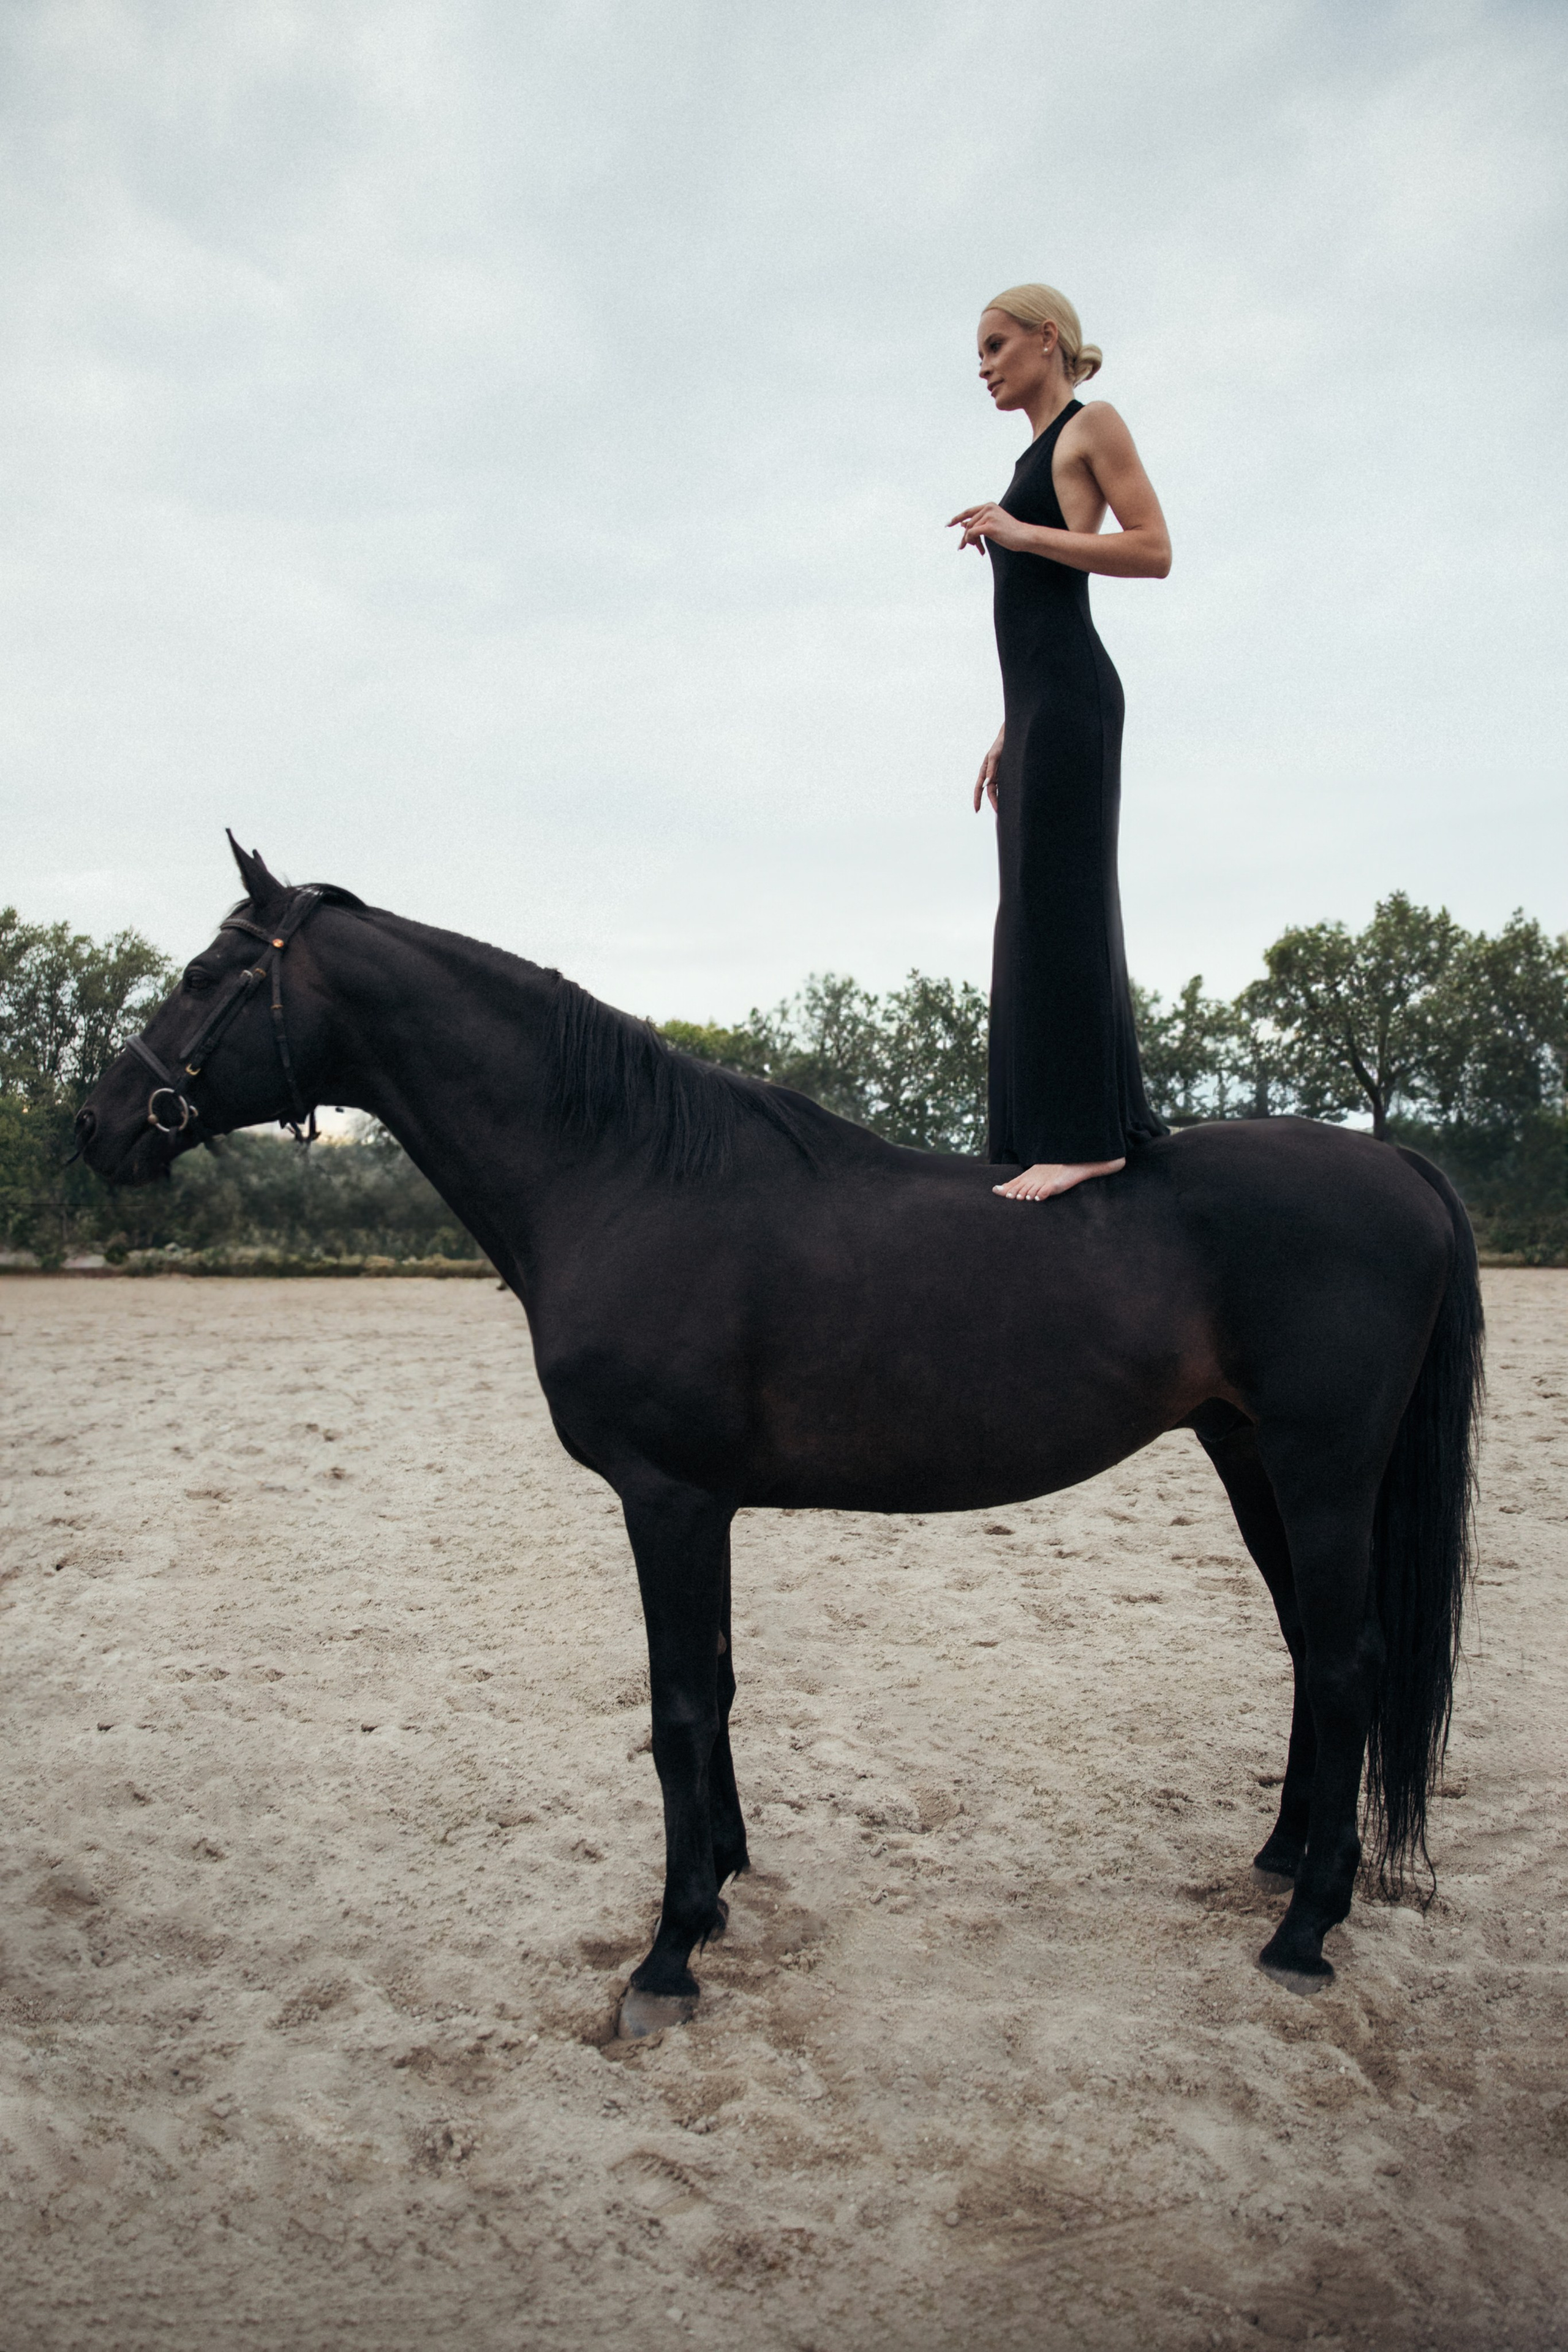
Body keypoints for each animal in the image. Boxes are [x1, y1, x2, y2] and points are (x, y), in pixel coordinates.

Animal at [76, 836, 1482, 2033]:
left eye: (203, 976)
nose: (97, 1124)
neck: (629, 1177)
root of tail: (1401, 1165)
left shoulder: (666, 1499)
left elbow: (679, 1705)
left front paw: (668, 1952)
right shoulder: (703, 1505)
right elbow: (721, 1686)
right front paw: (726, 1877)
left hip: (1319, 1468)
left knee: (1347, 1662)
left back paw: (1304, 1932)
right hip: (1247, 1455)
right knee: (1310, 1651)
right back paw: (1278, 1861)